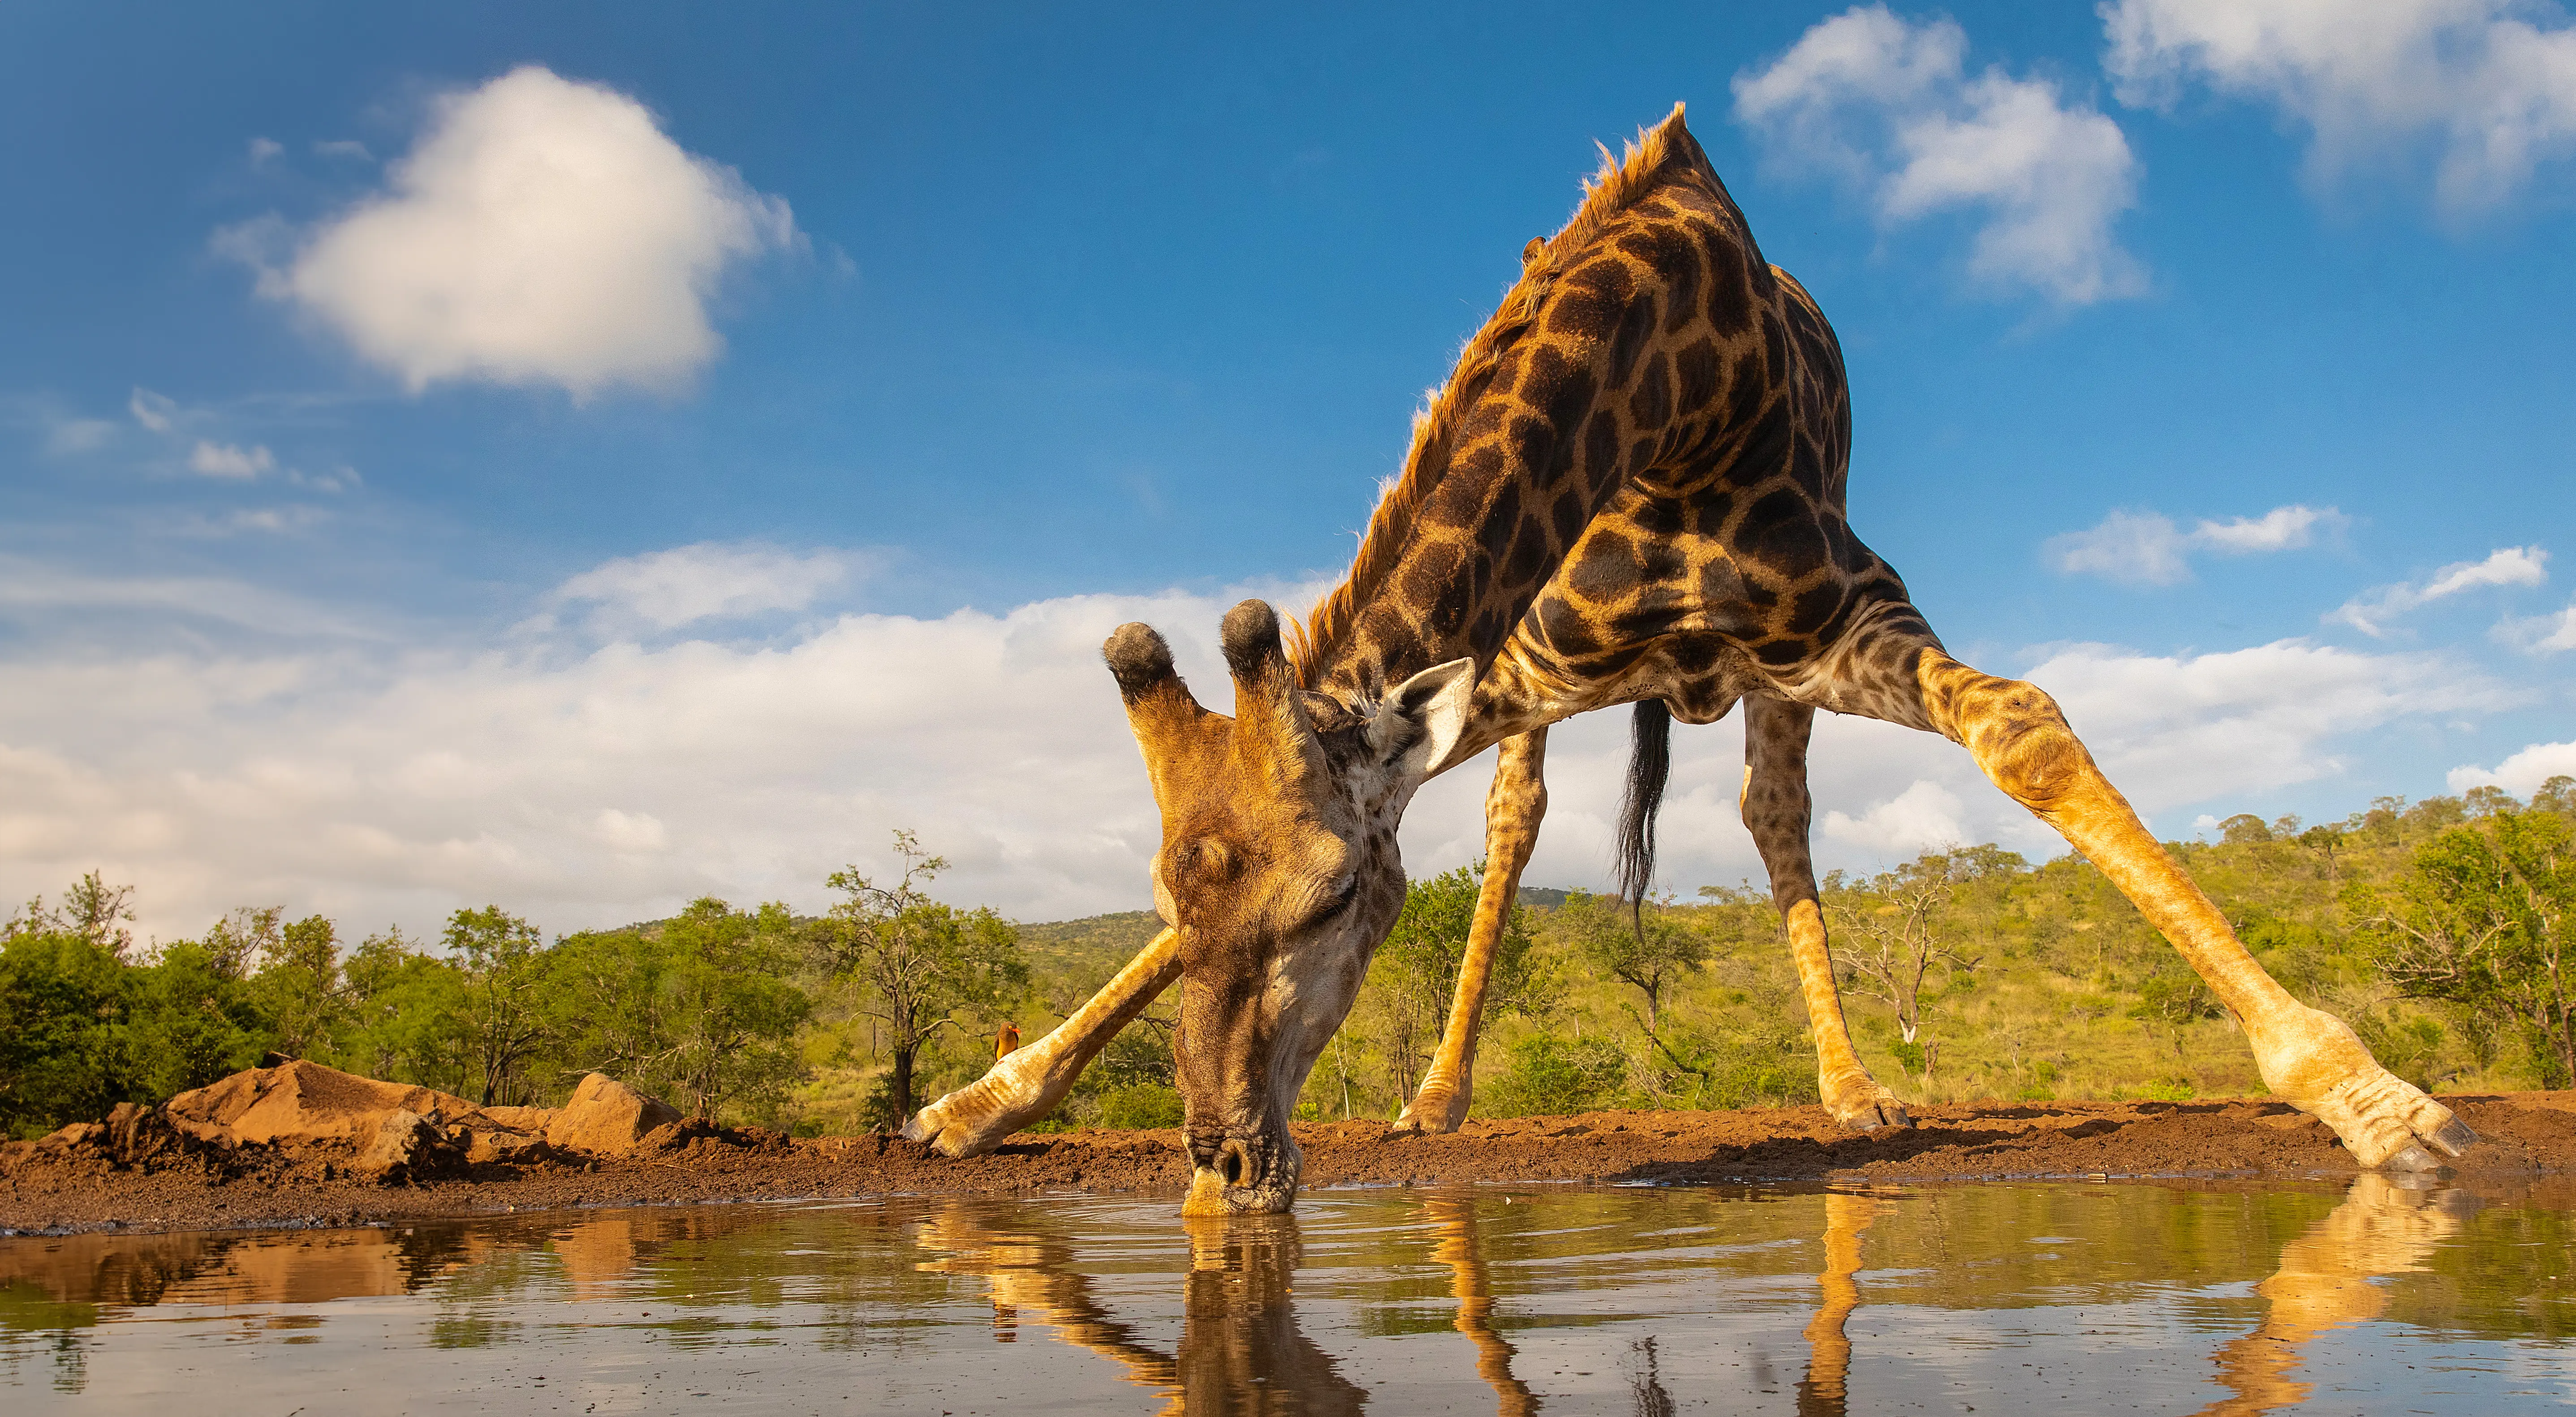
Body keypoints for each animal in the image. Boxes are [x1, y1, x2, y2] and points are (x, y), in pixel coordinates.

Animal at [905, 103, 2477, 1213]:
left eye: (1339, 896)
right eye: (1165, 892)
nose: (1224, 1161)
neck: (1678, 389)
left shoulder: (1845, 616)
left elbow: (2021, 728)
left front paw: (2367, 1097)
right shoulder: (1516, 668)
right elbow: (1456, 825)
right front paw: (980, 1102)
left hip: (1772, 682)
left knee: (1772, 813)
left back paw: (1852, 1091)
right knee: (1517, 818)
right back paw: (1434, 1095)